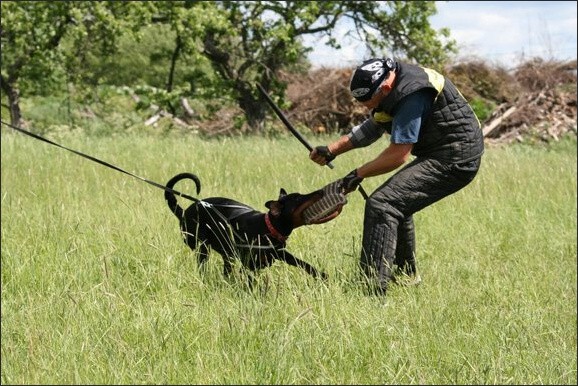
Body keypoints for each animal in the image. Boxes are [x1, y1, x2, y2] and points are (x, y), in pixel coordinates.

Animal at [164, 173, 332, 284]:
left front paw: (322, 275)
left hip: (227, 253)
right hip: (202, 247)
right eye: (298, 199)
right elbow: (250, 280)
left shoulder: (281, 254)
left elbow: (303, 263)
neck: (267, 228)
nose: (320, 191)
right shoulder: (247, 265)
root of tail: (183, 213)